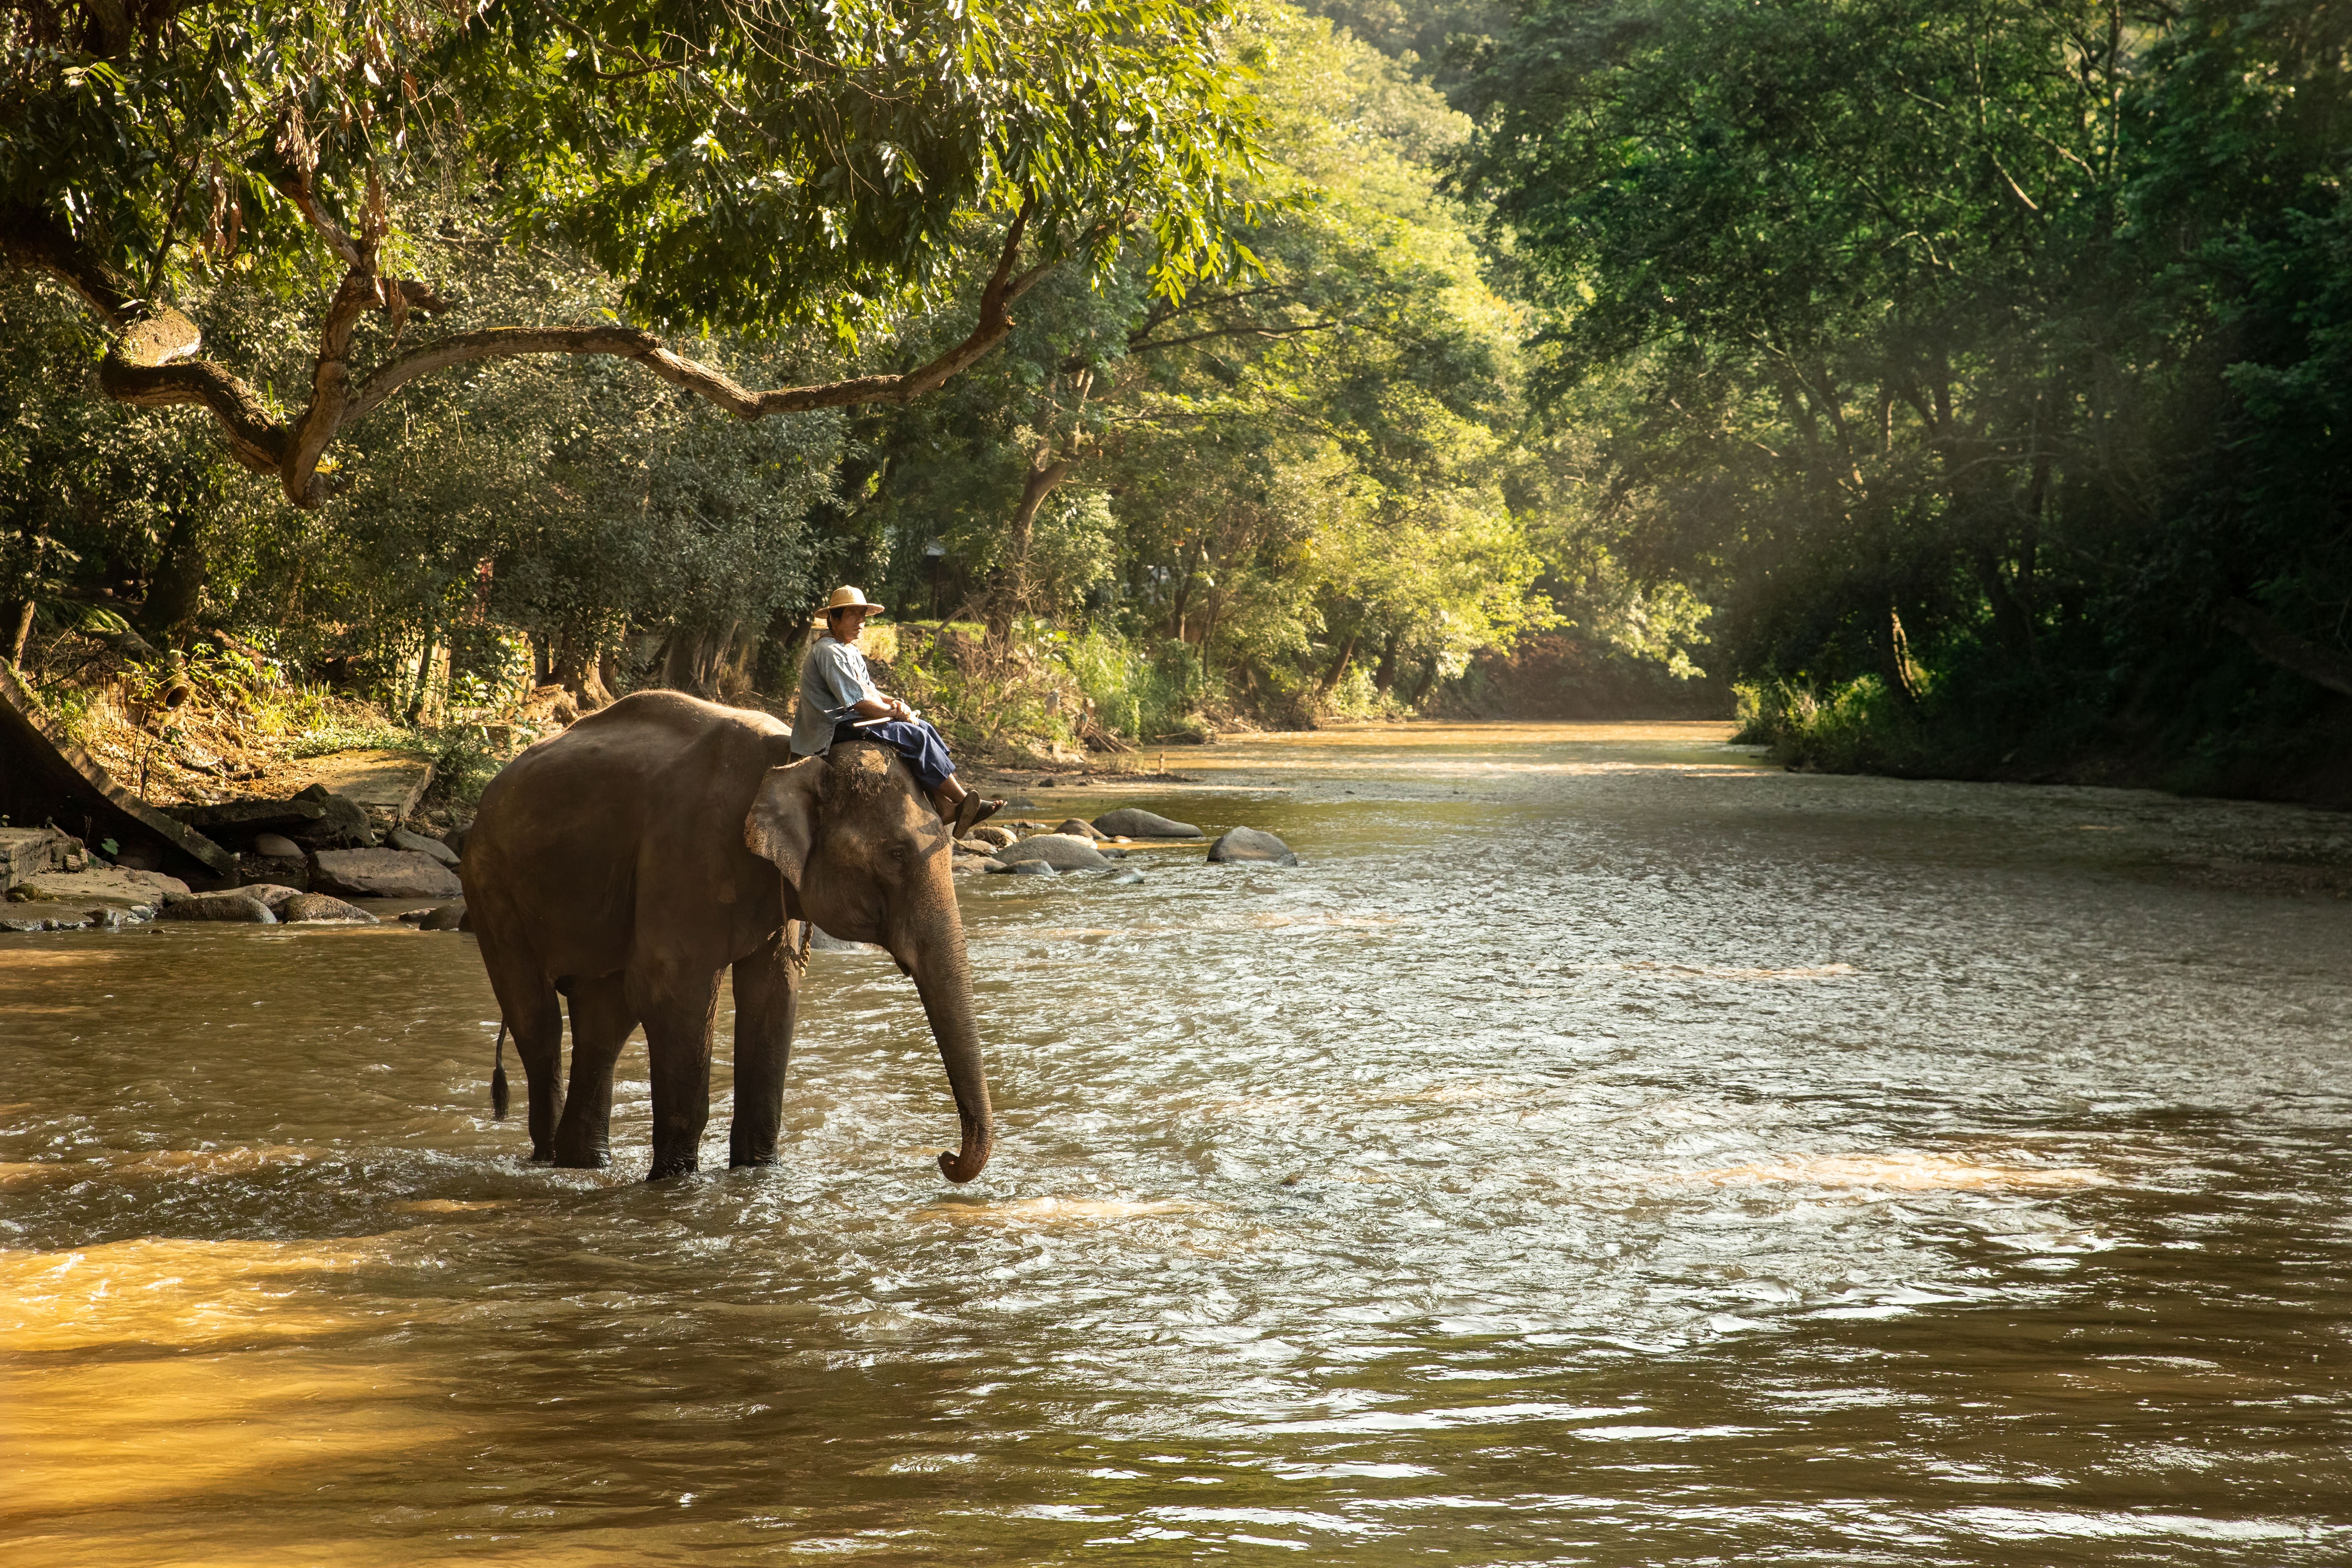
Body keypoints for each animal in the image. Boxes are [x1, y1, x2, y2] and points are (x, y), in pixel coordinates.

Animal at [461, 689, 991, 1183]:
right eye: (896, 854)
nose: (944, 1156)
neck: (792, 759)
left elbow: (773, 993)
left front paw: (758, 1171)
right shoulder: (687, 850)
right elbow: (672, 991)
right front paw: (676, 1180)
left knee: (604, 1020)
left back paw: (581, 1163)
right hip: (491, 889)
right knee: (538, 1021)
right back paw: (550, 1158)